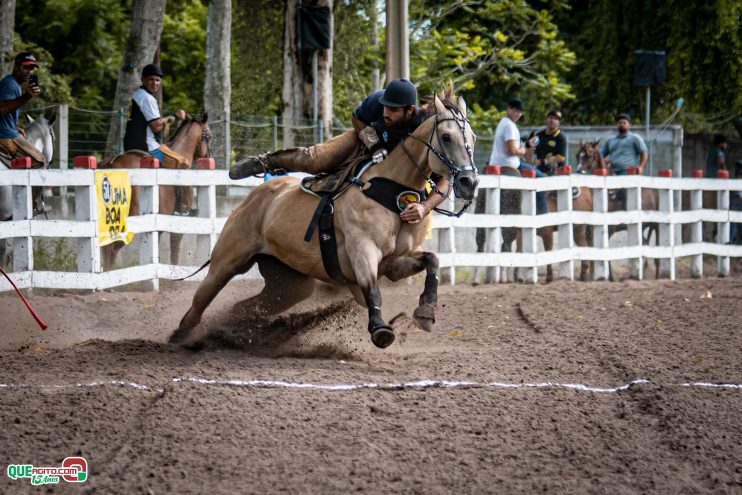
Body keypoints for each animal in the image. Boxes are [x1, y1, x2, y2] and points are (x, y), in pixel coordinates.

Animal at [169, 91, 480, 350]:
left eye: (473, 138)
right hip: (227, 262)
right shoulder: (363, 252)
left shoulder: (394, 262)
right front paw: (380, 329)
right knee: (199, 302)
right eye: (447, 137)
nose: (469, 182)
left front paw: (426, 312)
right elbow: (372, 291)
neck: (392, 191)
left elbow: (432, 260)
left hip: (288, 285)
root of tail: (254, 197)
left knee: (244, 308)